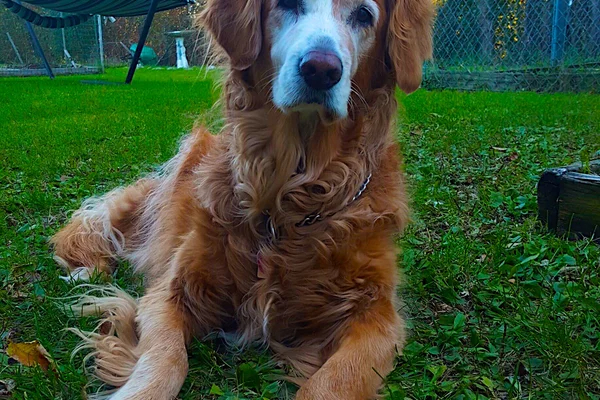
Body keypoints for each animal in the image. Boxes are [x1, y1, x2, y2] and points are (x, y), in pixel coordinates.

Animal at [52, 0, 432, 396]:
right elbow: (167, 359)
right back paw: (86, 268)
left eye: (363, 15)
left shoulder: (377, 315)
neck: (285, 205)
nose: (321, 70)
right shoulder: (168, 292)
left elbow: (331, 382)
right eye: (287, 5)